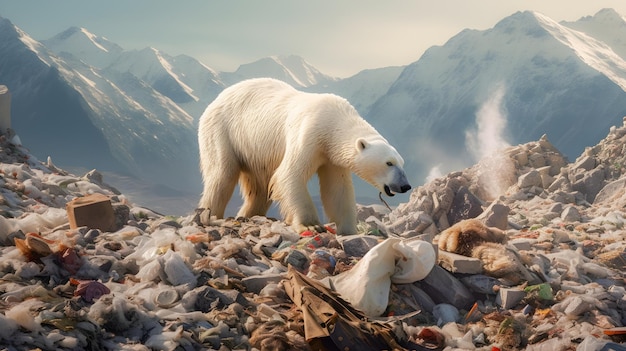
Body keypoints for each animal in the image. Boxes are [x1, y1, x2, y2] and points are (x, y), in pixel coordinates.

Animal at [197, 78, 408, 235]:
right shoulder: (309, 134)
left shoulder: (331, 156)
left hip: (256, 153)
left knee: (260, 189)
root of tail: (216, 99)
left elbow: (337, 189)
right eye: (389, 163)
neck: (333, 121)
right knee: (222, 176)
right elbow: (290, 175)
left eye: (402, 163)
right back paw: (209, 215)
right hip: (223, 132)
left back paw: (248, 214)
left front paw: (349, 230)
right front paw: (311, 225)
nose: (405, 185)